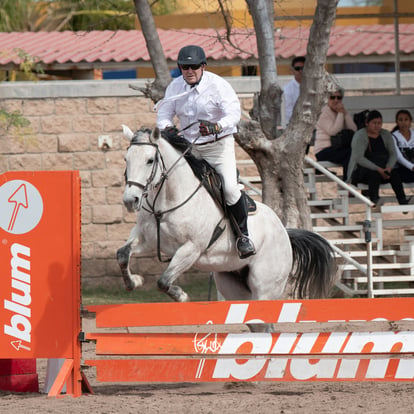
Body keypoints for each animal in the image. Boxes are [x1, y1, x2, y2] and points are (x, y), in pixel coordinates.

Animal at [116, 124, 336, 302]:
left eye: (150, 160)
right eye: (126, 159)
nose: (130, 200)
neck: (165, 203)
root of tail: (285, 233)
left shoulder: (191, 249)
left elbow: (163, 281)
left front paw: (181, 295)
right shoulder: (148, 240)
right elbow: (122, 254)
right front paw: (135, 281)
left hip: (265, 288)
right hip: (233, 282)